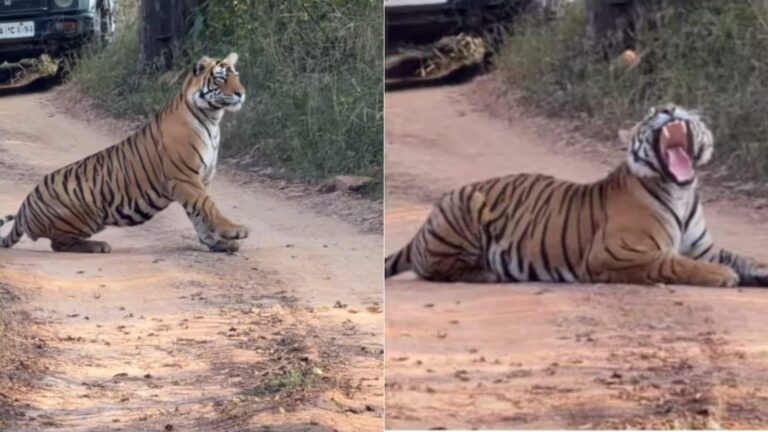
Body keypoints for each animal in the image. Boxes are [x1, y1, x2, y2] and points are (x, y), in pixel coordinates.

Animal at [0, 52, 248, 254]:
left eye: (236, 76)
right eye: (220, 78)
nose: (241, 93)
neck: (212, 119)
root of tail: (25, 204)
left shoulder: (199, 181)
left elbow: (199, 215)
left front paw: (217, 243)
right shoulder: (186, 178)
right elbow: (208, 207)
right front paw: (234, 230)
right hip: (85, 216)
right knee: (58, 243)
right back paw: (98, 246)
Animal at [385, 104, 768, 287]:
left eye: (677, 106)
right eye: (650, 114)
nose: (669, 109)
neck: (680, 192)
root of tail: (424, 224)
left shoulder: (706, 248)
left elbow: (741, 258)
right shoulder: (616, 253)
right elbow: (676, 263)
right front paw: (722, 276)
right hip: (466, 208)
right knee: (434, 269)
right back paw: (488, 272)